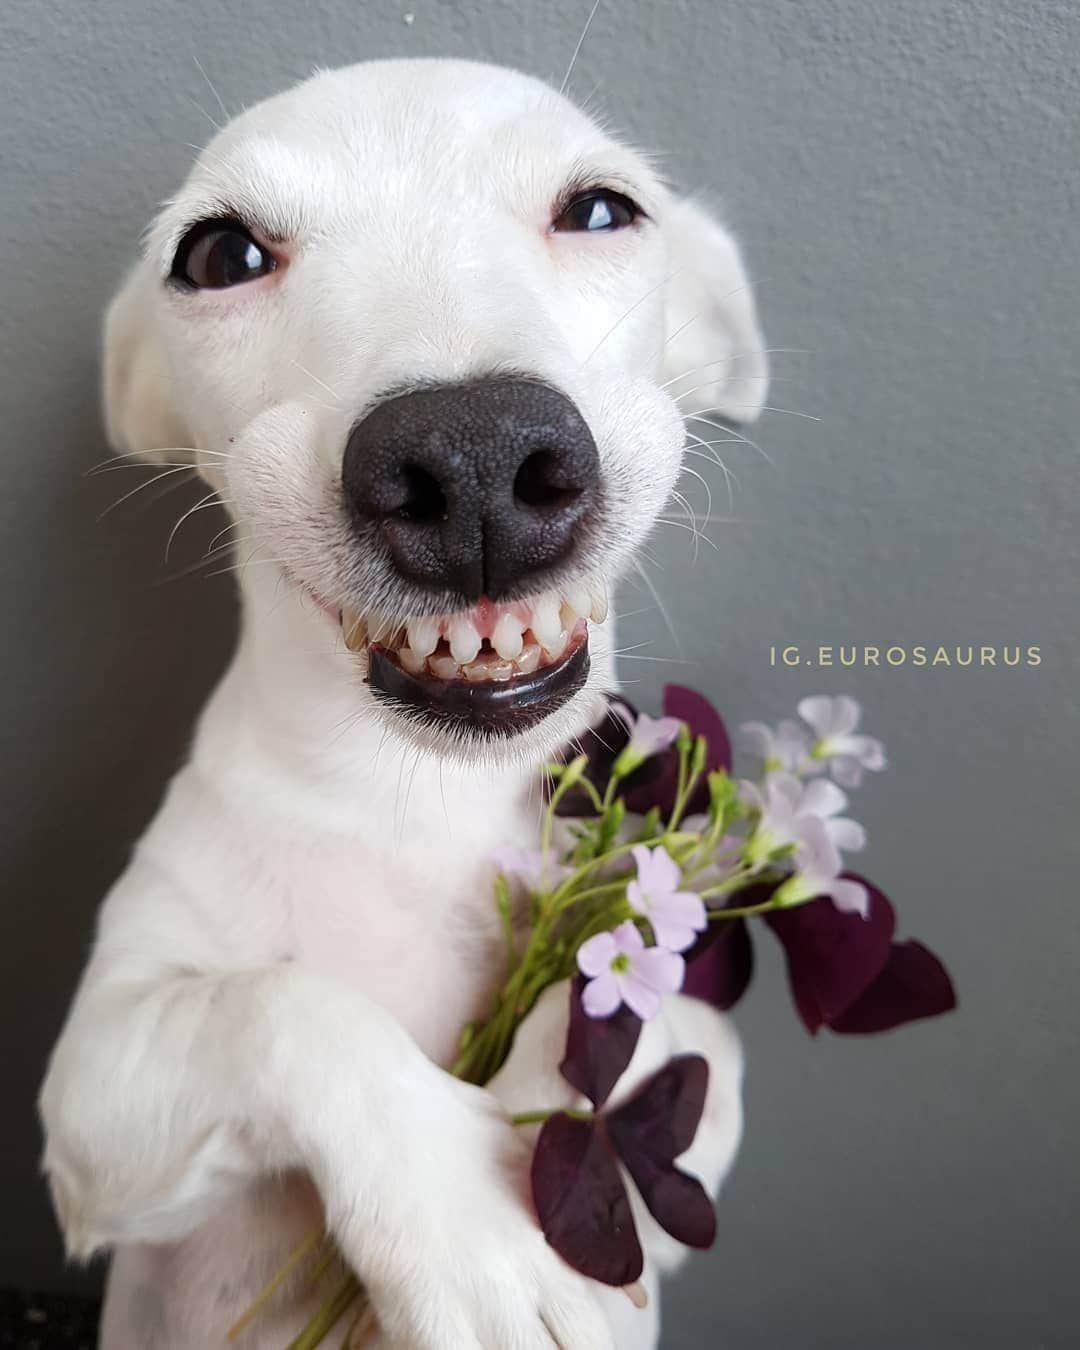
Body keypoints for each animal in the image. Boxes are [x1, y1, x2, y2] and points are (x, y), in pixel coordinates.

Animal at [37, 58, 766, 1344]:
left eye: (601, 209)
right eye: (219, 252)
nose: (476, 457)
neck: (414, 792)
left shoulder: (704, 1020)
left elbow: (655, 996)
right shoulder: (94, 1087)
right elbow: (281, 1007)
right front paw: (470, 1224)